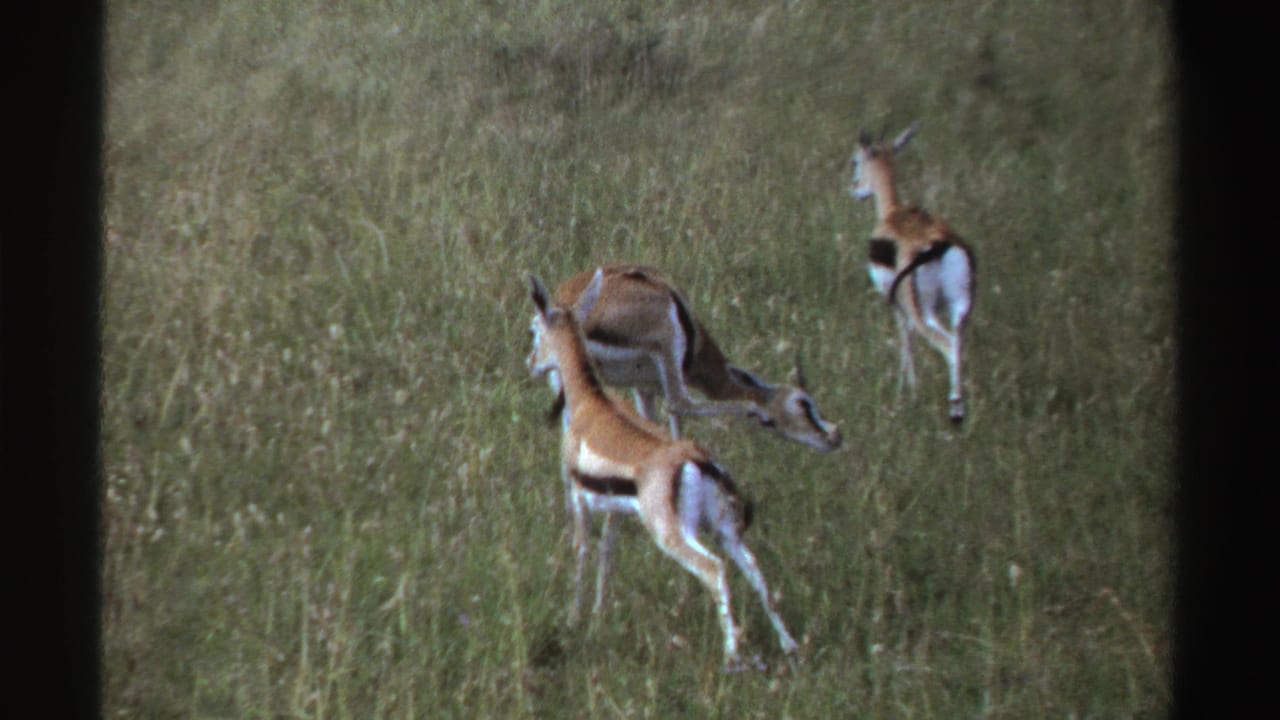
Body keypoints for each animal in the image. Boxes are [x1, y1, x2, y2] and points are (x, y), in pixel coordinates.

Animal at [526, 268, 799, 668]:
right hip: (723, 531)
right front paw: (598, 617)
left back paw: (732, 657)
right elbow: (608, 554)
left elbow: (582, 550)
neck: (592, 404)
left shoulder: (579, 498)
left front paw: (575, 619)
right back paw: (789, 645)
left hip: (673, 535)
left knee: (714, 569)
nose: (530, 363)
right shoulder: (617, 509)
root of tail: (699, 461)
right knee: (754, 570)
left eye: (535, 328)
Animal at [546, 264, 841, 451]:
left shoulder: (644, 388)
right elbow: (678, 410)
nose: (834, 436)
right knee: (681, 403)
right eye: (803, 403)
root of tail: (570, 308)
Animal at [848, 123, 975, 423]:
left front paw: (905, 394)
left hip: (924, 311)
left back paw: (954, 411)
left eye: (855, 161)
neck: (893, 213)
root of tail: (939, 246)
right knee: (958, 344)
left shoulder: (895, 302)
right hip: (959, 309)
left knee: (946, 344)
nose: (854, 190)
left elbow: (904, 339)